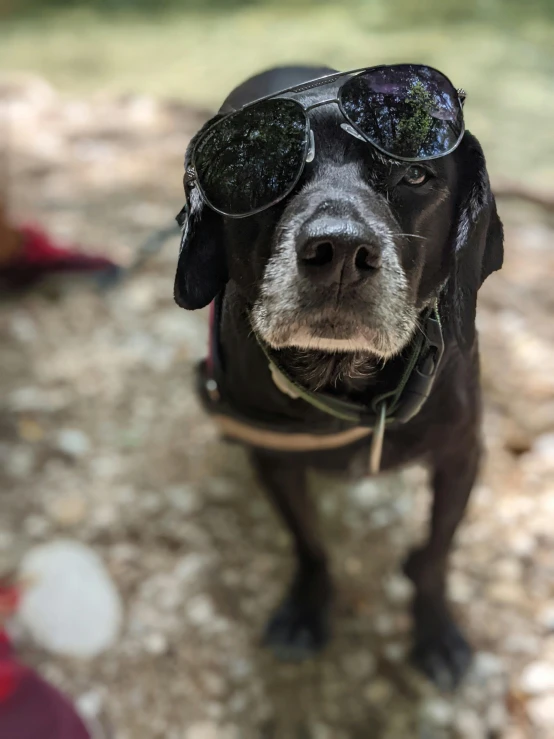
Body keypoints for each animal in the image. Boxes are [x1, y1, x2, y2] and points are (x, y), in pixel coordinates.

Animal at [172, 66, 500, 692]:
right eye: (252, 178)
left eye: (415, 173)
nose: (342, 250)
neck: (345, 380)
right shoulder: (274, 462)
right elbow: (309, 543)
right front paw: (305, 608)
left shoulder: (462, 456)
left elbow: (434, 553)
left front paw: (435, 630)